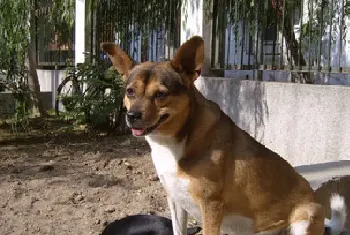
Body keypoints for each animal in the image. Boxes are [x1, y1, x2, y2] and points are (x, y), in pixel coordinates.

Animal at [102, 35, 348, 235]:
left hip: (307, 215)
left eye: (161, 94)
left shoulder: (211, 207)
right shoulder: (176, 201)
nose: (132, 116)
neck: (176, 141)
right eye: (130, 92)